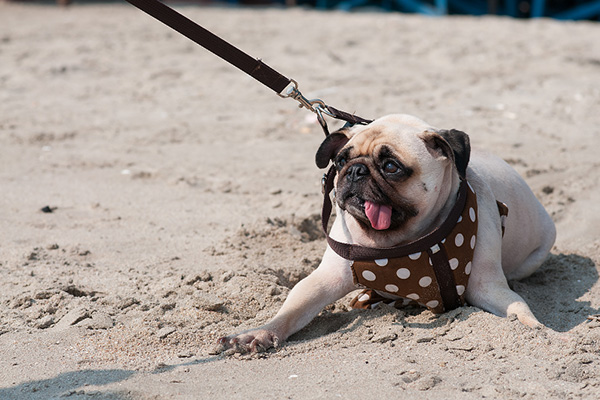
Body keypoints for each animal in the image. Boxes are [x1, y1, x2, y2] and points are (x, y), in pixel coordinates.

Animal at [218, 114, 556, 352]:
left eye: (391, 166)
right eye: (341, 159)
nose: (355, 170)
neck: (398, 243)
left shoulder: (488, 287)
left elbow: (519, 312)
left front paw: (546, 335)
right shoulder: (325, 280)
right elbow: (291, 309)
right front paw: (259, 333)